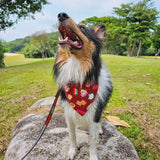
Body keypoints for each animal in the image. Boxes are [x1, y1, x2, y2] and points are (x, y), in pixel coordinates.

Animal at [53, 12, 112, 160]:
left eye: (83, 28)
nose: (61, 15)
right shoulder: (68, 113)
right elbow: (72, 136)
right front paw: (72, 151)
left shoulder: (94, 113)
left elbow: (93, 141)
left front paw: (93, 156)